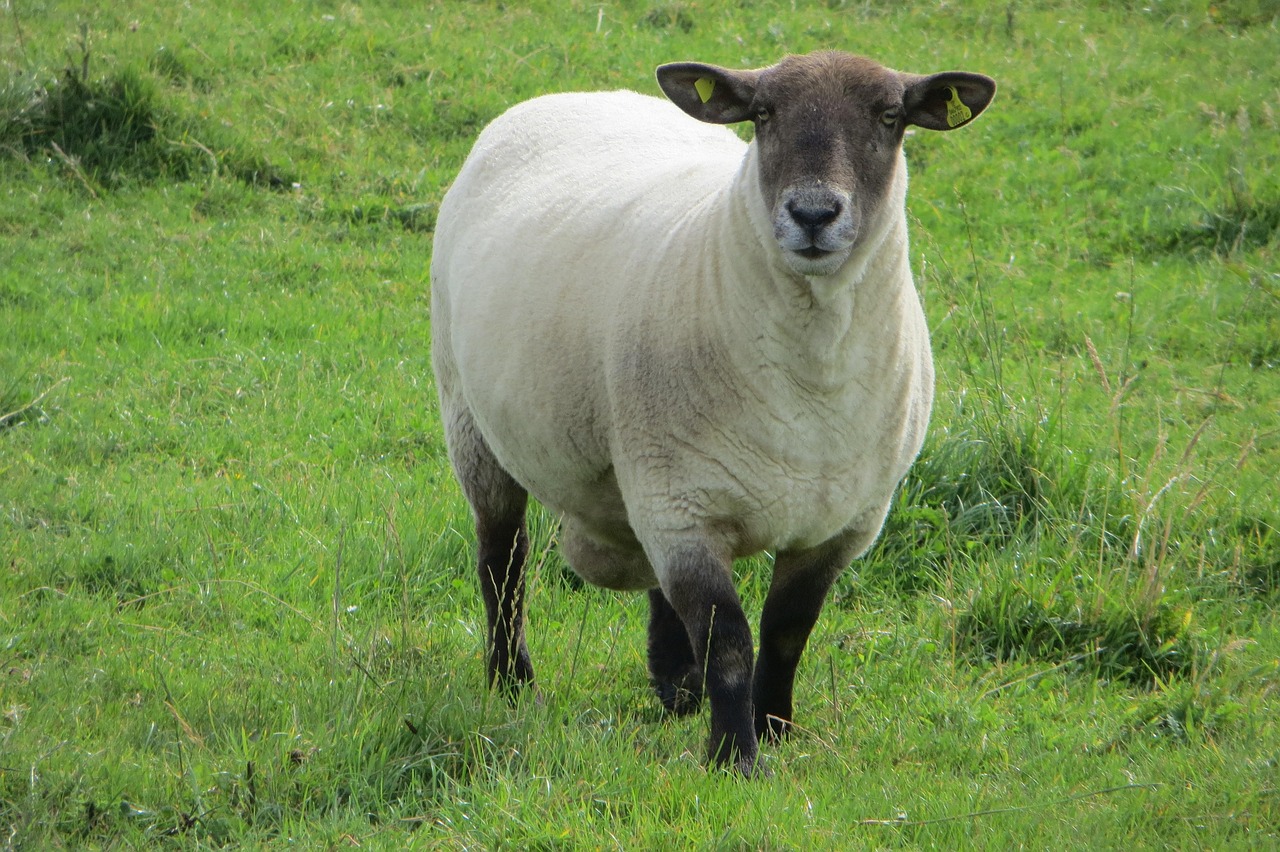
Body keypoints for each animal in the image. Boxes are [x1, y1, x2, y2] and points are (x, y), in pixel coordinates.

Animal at [430, 50, 995, 775]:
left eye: (890, 116)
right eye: (764, 115)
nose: (814, 213)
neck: (812, 379)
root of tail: (578, 95)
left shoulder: (845, 522)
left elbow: (786, 631)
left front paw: (774, 728)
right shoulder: (683, 507)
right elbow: (729, 635)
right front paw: (735, 759)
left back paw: (676, 687)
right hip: (472, 421)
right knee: (503, 564)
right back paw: (512, 683)